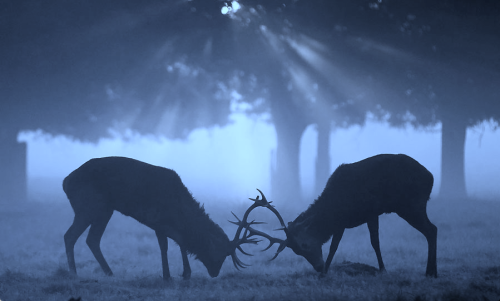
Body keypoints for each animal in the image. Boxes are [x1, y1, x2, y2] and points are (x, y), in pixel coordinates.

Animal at [62, 157, 264, 278]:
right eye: (221, 252)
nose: (215, 273)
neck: (179, 211)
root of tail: (65, 182)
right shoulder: (157, 219)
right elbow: (176, 242)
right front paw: (181, 274)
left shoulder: (159, 224)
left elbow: (169, 245)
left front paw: (172, 275)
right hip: (88, 206)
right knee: (70, 235)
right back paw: (74, 273)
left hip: (105, 210)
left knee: (92, 239)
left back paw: (109, 272)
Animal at [240, 155, 440, 276]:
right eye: (297, 252)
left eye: (305, 245)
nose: (318, 267)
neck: (334, 209)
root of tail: (431, 177)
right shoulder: (363, 216)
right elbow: (371, 242)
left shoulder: (355, 217)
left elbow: (340, 246)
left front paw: (325, 273)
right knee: (433, 229)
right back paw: (433, 272)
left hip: (411, 205)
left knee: (432, 229)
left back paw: (430, 272)